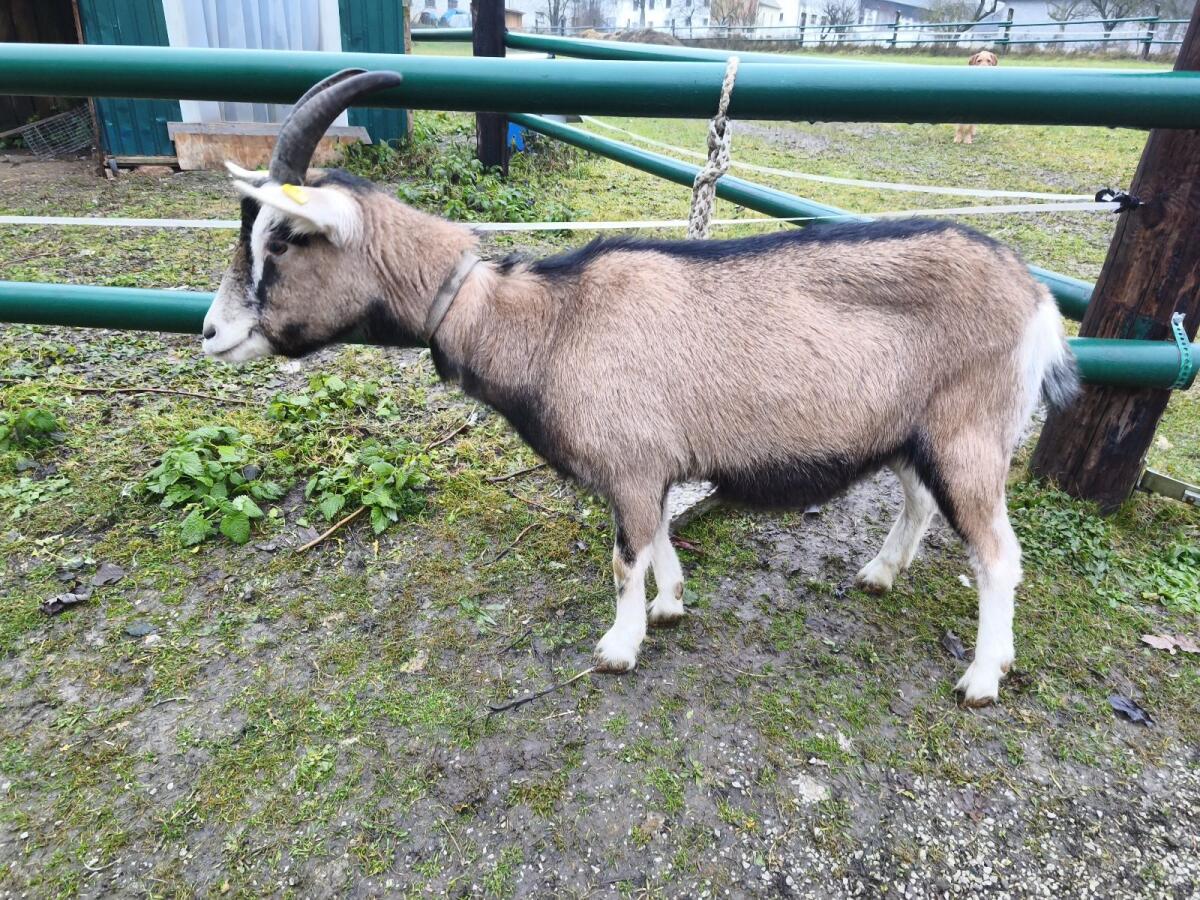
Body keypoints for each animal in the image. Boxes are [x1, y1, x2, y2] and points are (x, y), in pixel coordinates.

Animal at [201, 70, 1079, 706]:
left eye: (284, 238)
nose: (212, 332)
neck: (545, 321)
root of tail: (1035, 299)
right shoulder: (649, 467)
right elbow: (656, 539)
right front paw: (672, 604)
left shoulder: (627, 465)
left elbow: (625, 557)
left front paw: (620, 648)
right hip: (912, 432)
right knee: (920, 503)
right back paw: (880, 573)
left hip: (969, 436)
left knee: (999, 556)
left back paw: (982, 679)